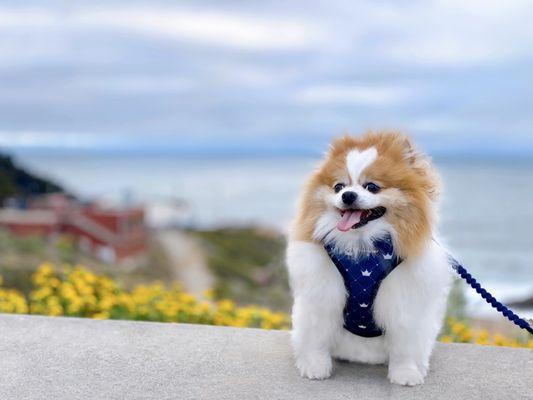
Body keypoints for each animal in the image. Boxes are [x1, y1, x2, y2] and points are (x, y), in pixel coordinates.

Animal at [286, 133, 454, 386]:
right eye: (339, 187)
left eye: (372, 187)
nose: (347, 195)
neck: (362, 245)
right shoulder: (321, 296)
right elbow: (317, 337)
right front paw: (314, 366)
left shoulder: (404, 303)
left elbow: (404, 345)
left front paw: (405, 373)